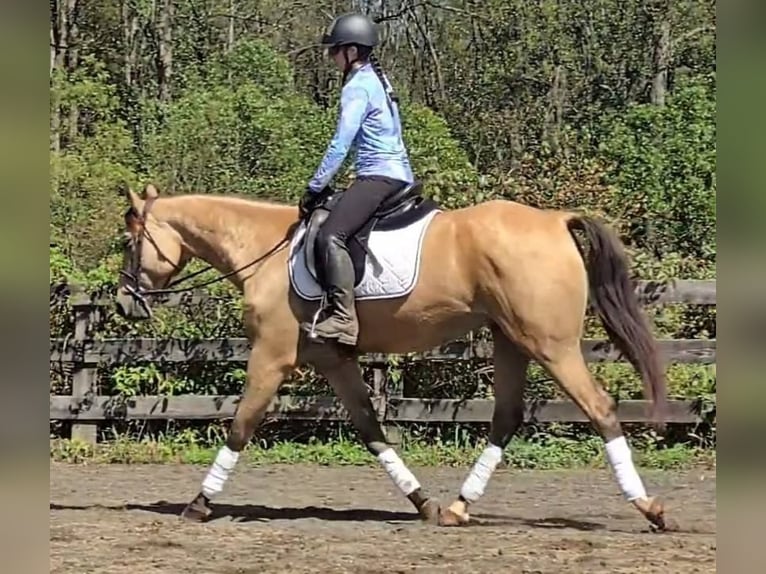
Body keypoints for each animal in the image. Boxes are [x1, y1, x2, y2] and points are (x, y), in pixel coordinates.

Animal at [114, 182, 671, 531]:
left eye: (128, 241)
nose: (122, 302)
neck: (265, 250)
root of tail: (556, 219)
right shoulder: (334, 361)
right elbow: (371, 429)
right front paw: (422, 503)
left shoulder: (271, 357)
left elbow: (240, 426)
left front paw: (199, 503)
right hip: (511, 339)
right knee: (506, 418)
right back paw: (458, 509)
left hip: (549, 345)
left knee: (600, 409)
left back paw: (650, 508)